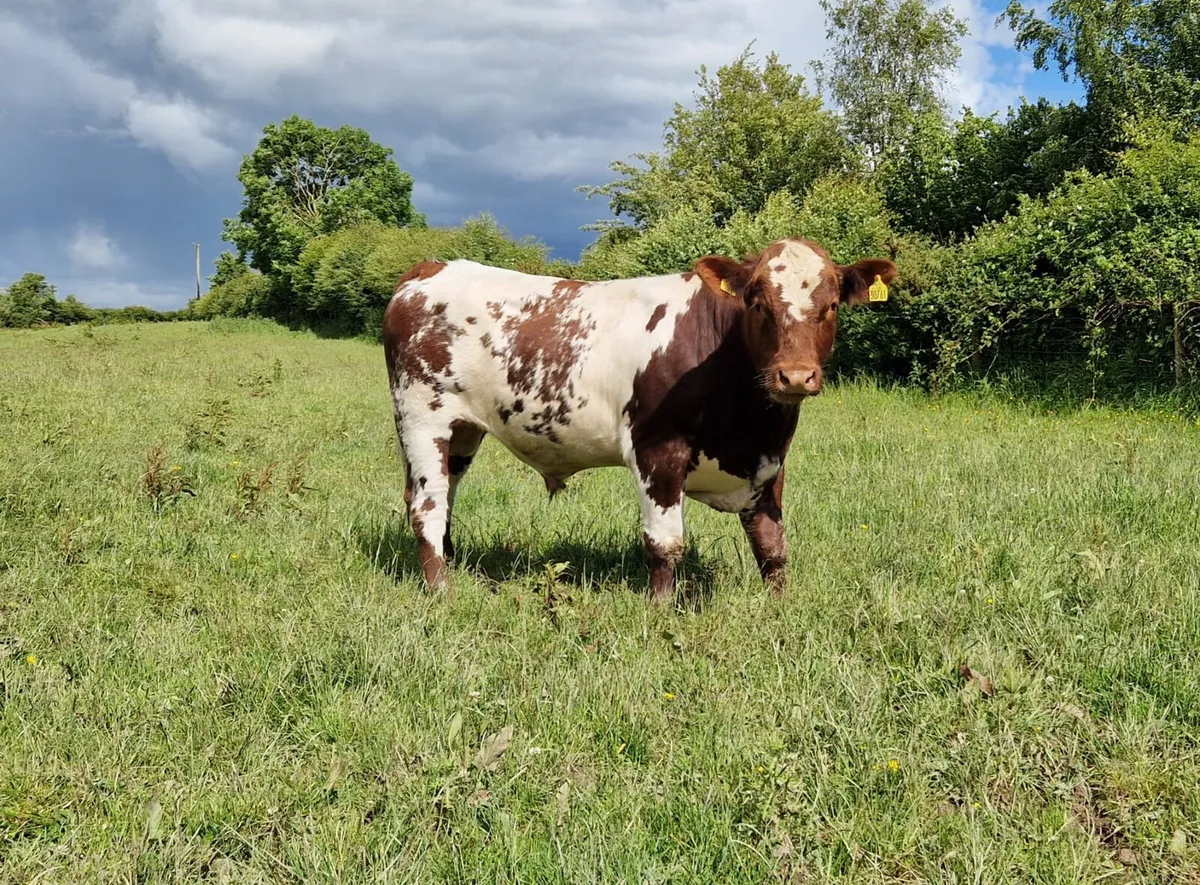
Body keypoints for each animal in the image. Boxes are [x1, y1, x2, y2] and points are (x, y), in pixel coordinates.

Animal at [382, 237, 896, 603]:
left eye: (831, 305)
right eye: (757, 303)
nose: (794, 375)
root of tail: (428, 269)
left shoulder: (769, 462)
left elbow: (772, 547)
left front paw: (779, 609)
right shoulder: (657, 450)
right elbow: (664, 543)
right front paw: (661, 611)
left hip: (463, 431)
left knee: (445, 497)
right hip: (422, 418)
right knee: (426, 505)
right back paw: (441, 591)